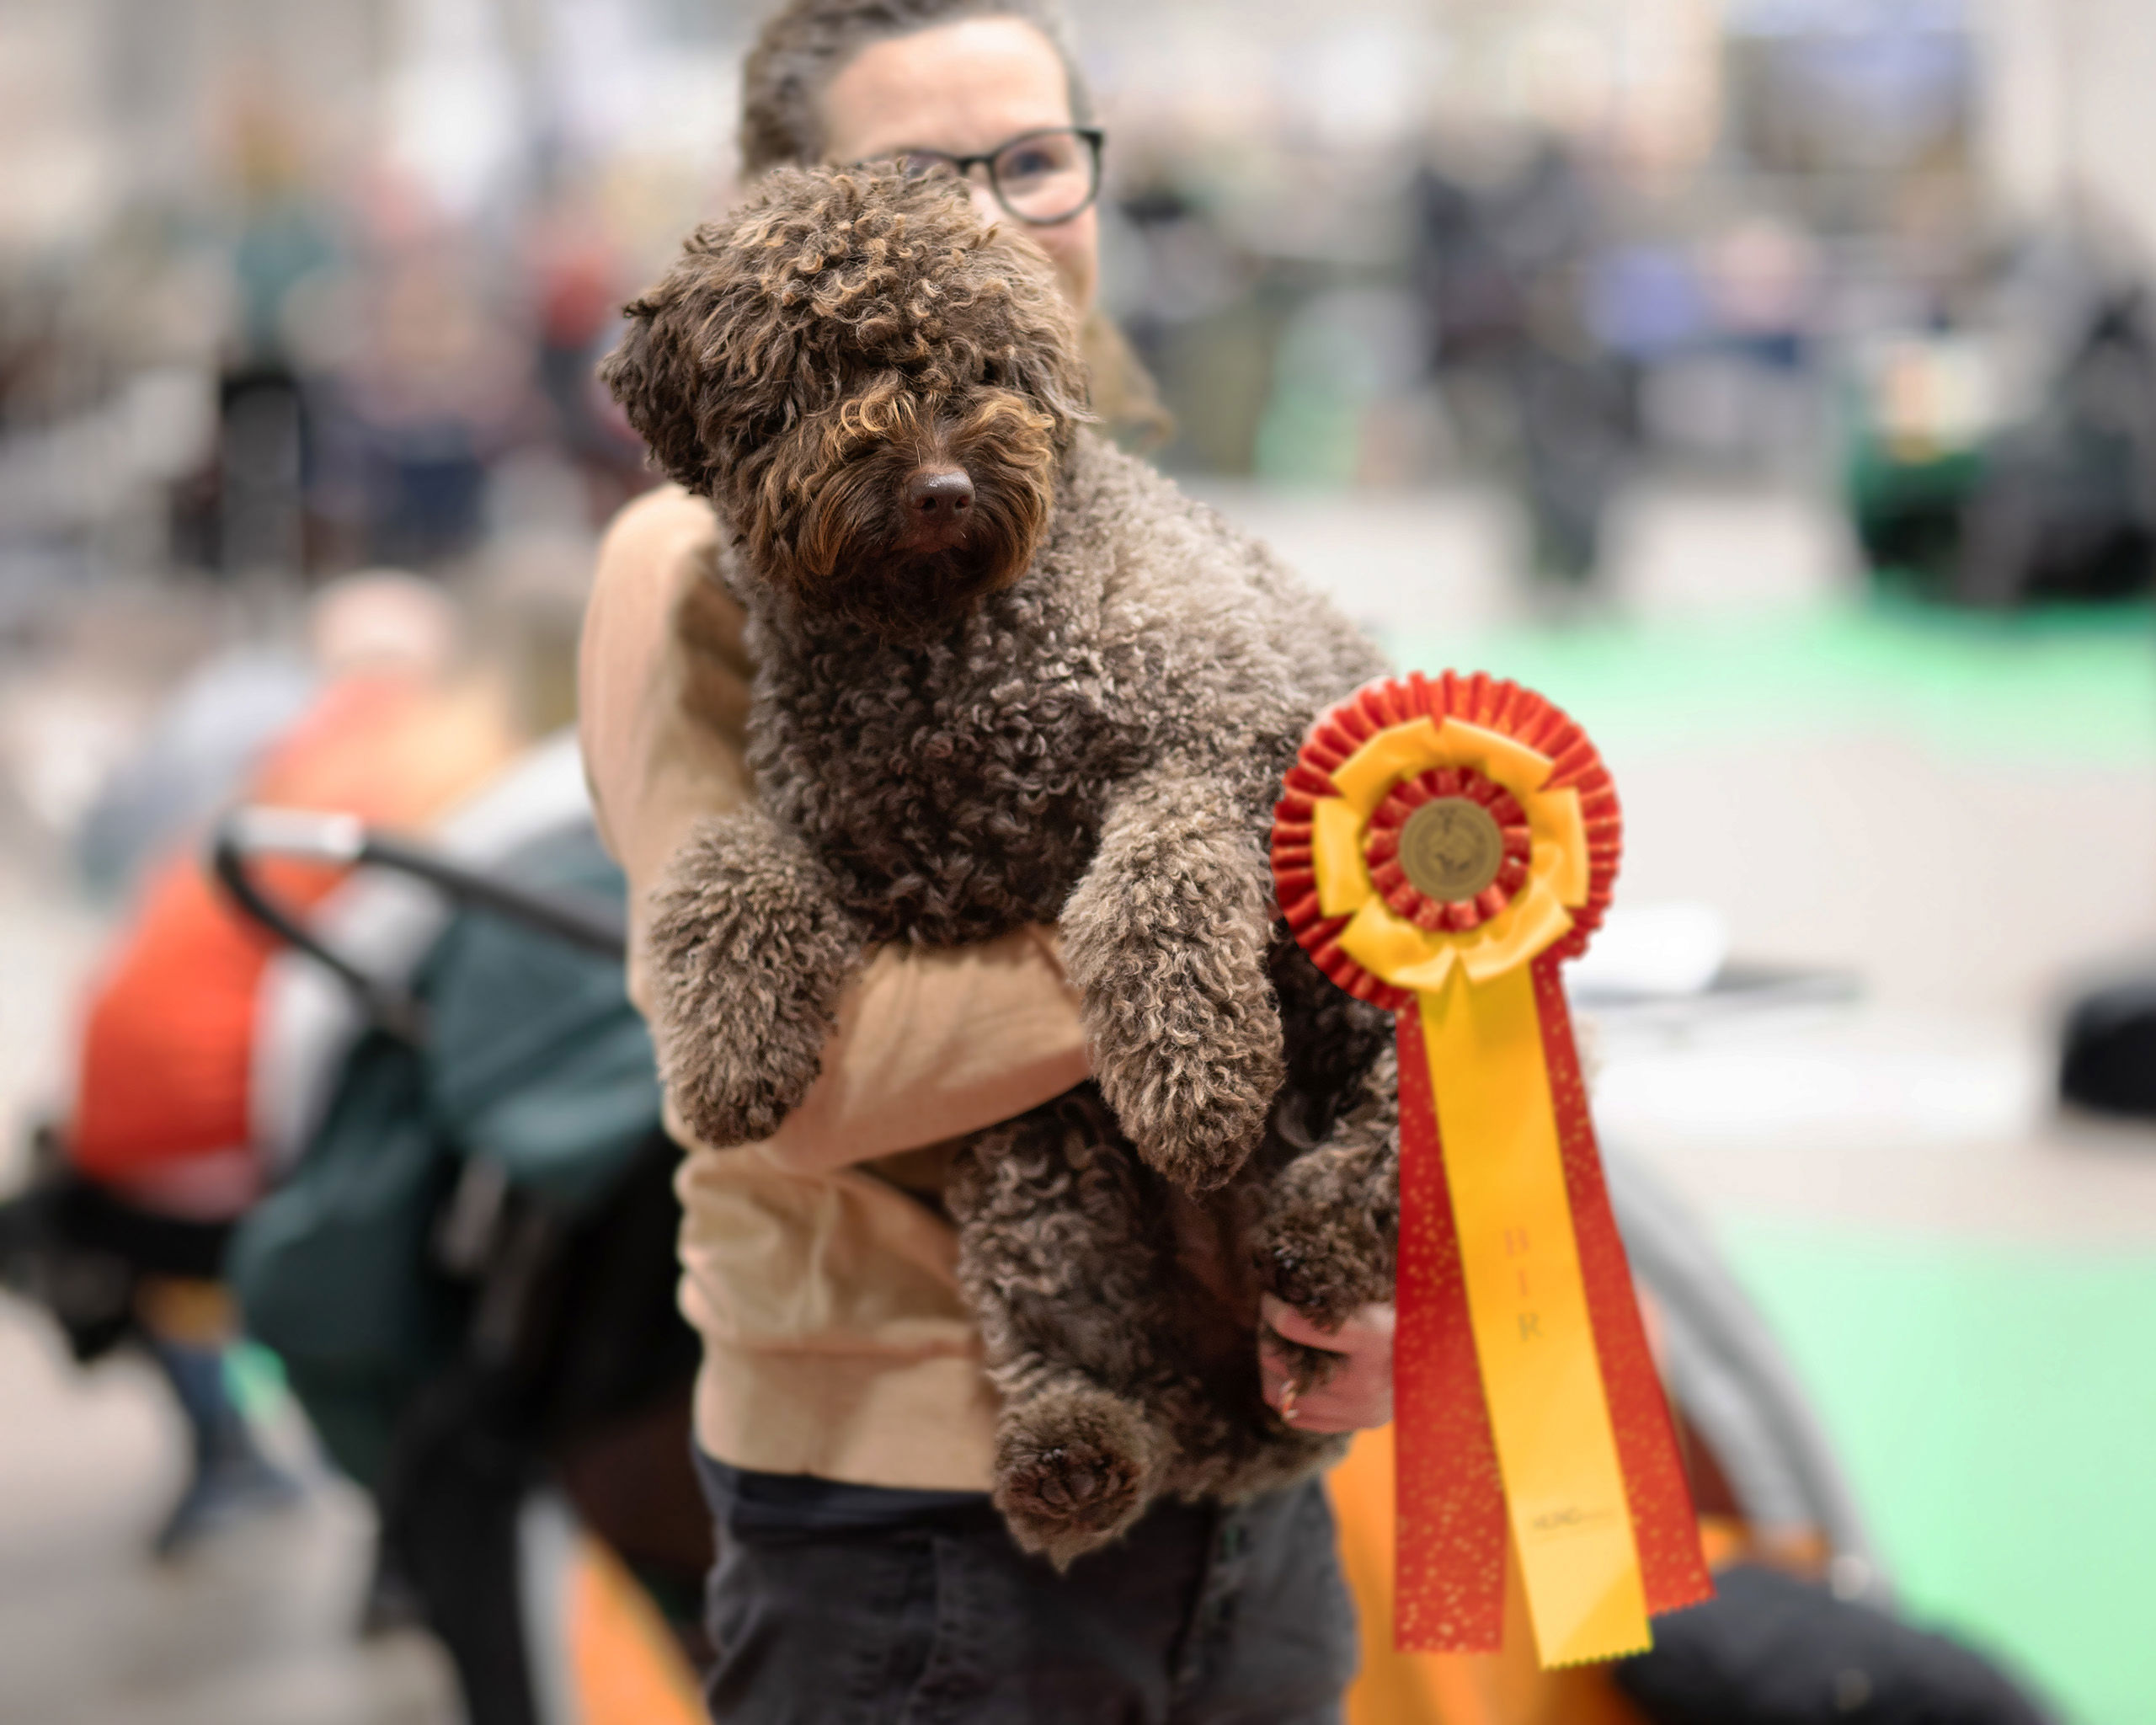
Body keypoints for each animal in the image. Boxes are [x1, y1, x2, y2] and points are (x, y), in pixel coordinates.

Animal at [603, 171, 1396, 1561]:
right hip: (1042, 1173)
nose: (940, 483)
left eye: (979, 361)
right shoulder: (882, 874)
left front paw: (1193, 1082)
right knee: (1087, 1337)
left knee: (1402, 1159)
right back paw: (1073, 1451)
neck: (938, 644)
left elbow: (1153, 890)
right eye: (819, 365)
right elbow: (724, 862)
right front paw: (733, 1055)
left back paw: (1319, 1229)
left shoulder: (1227, 744)